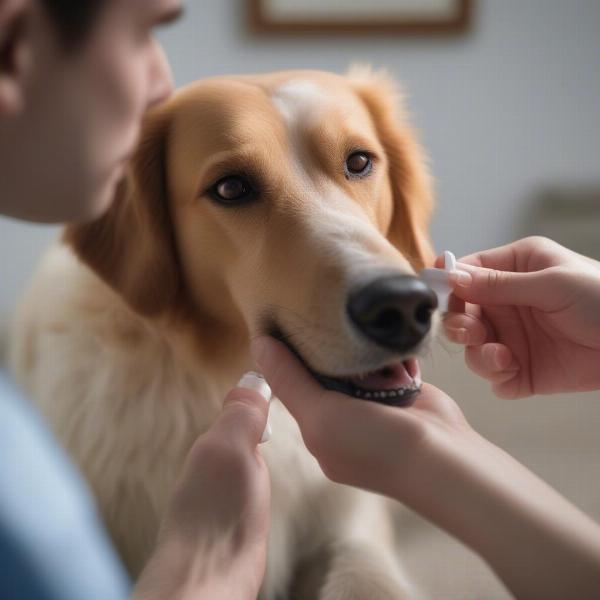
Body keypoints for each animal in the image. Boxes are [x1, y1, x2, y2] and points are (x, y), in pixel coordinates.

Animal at [10, 68, 436, 596]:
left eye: (359, 161)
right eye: (231, 188)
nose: (401, 305)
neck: (212, 370)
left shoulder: (351, 529)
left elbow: (367, 576)